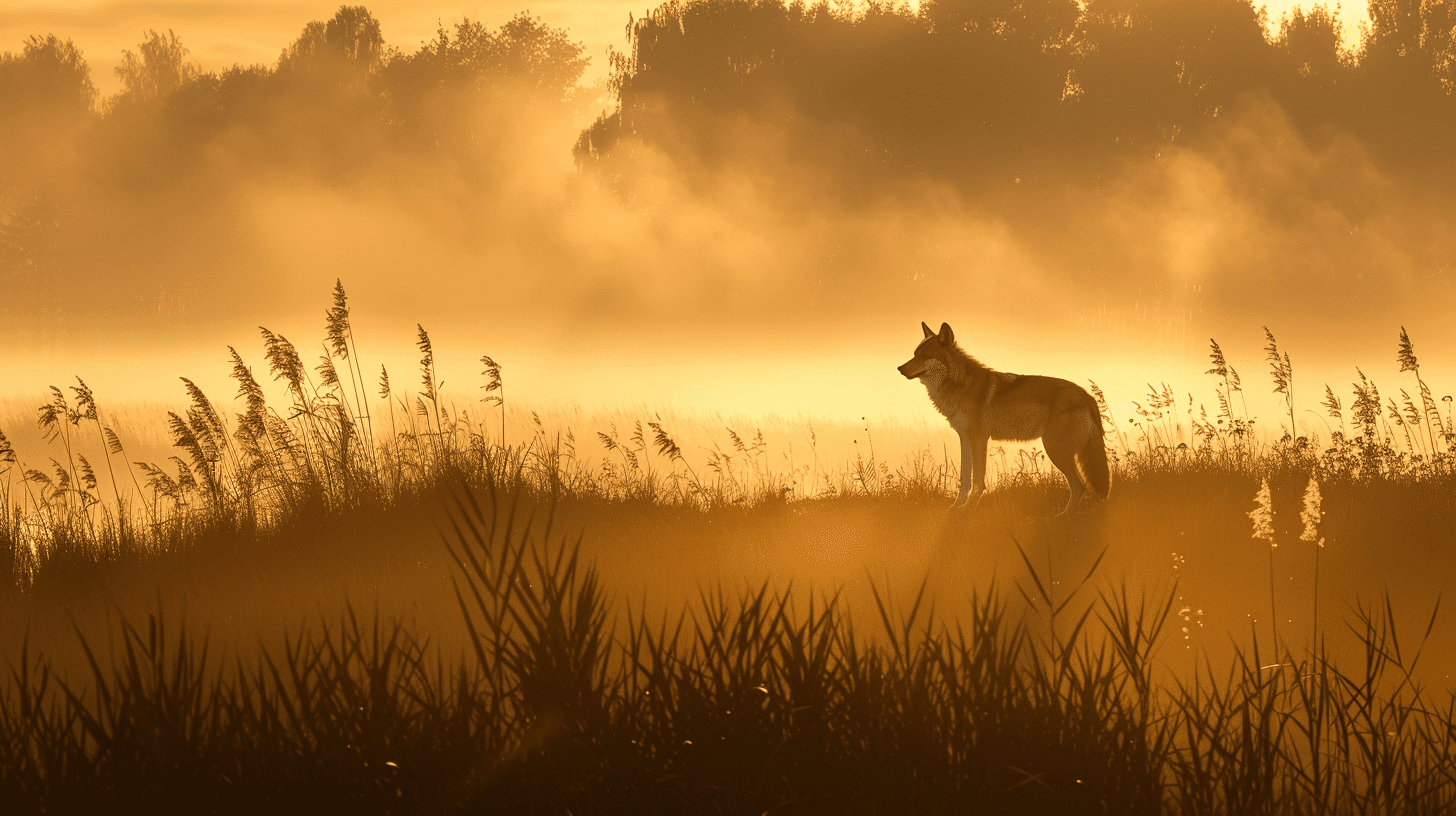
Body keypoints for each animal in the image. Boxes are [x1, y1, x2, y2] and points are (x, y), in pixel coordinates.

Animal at [897, 321, 1110, 515]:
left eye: (925, 356)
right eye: (915, 354)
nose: (899, 368)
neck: (960, 384)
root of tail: (1087, 395)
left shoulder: (979, 439)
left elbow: (978, 480)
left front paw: (970, 509)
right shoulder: (965, 438)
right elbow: (965, 478)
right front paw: (957, 508)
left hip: (1056, 450)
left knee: (1080, 487)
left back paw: (1063, 517)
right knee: (1081, 487)